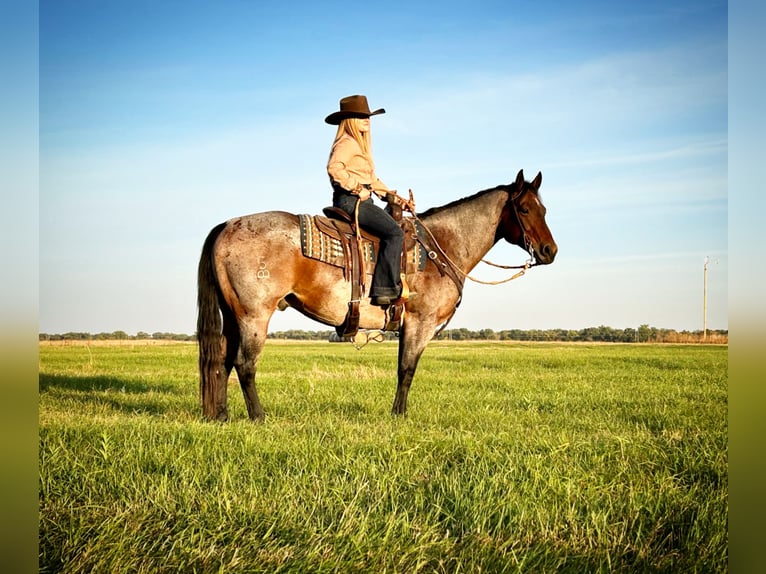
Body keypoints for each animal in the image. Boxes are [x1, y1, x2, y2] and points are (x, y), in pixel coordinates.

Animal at [198, 170, 560, 424]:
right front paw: (399, 415)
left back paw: (222, 415)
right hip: (254, 315)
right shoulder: (420, 322)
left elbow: (403, 368)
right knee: (244, 364)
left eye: (544, 208)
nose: (549, 251)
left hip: (233, 315)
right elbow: (407, 369)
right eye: (524, 209)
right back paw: (258, 417)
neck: (442, 245)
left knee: (222, 361)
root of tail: (227, 225)